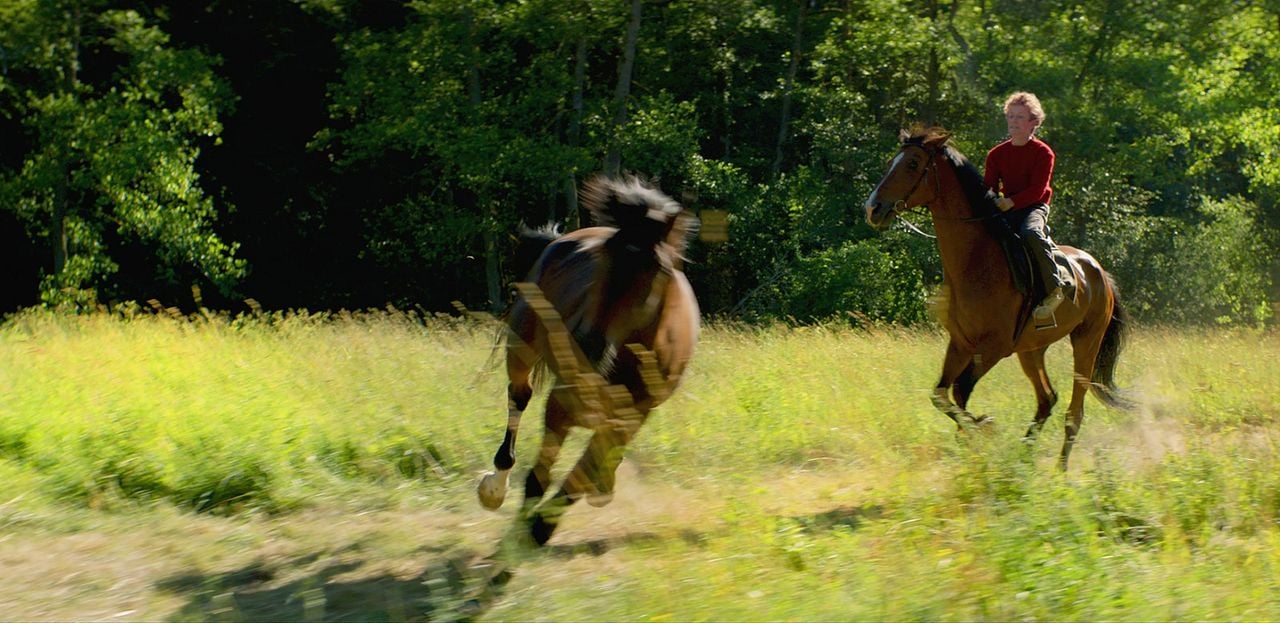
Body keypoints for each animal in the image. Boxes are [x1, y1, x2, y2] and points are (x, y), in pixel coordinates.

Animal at [481, 173, 701, 547]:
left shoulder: (632, 417)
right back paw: (495, 488)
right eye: (602, 256)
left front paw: (542, 527)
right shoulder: (562, 403)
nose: (586, 347)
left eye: (656, 269)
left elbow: (580, 474)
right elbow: (539, 477)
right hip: (521, 347)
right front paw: (523, 533)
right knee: (518, 397)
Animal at [860, 126, 1131, 468]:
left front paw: (982, 428)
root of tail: (1099, 272)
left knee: (1074, 412)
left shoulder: (993, 348)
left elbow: (960, 391)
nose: (873, 208)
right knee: (1047, 399)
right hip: (1032, 350)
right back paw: (1024, 457)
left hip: (1086, 342)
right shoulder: (961, 343)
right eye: (891, 162)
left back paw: (1059, 469)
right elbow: (942, 395)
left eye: (912, 164)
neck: (977, 262)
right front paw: (973, 437)